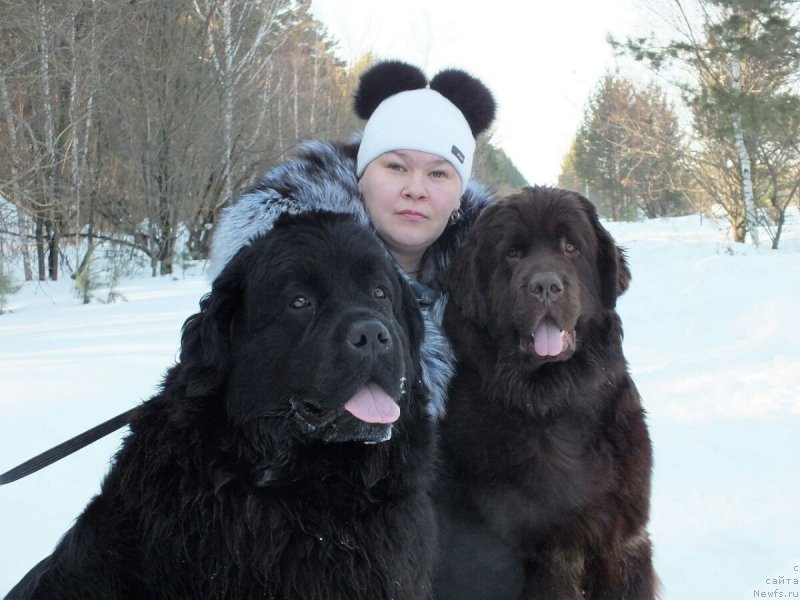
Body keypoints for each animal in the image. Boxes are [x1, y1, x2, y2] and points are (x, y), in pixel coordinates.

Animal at [432, 189, 656, 600]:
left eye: (570, 247)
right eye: (512, 253)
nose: (546, 286)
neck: (557, 400)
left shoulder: (625, 541)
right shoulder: (546, 556)